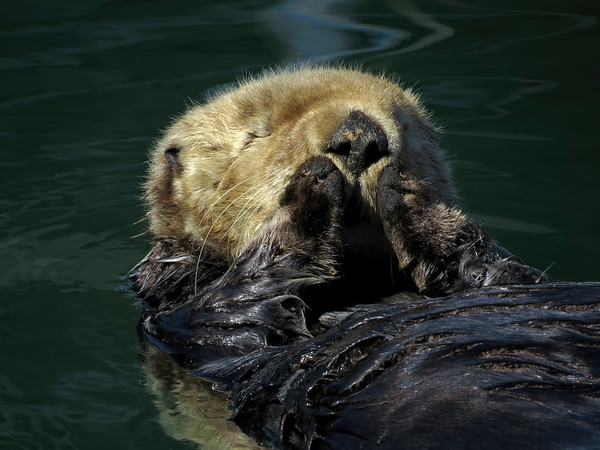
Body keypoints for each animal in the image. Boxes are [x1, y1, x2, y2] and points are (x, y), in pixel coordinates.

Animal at [132, 67, 600, 450]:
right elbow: (236, 308)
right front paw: (311, 191)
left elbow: (503, 274)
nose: (359, 135)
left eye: (404, 122)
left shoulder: (511, 277)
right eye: (256, 134)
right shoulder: (187, 324)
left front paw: (410, 195)